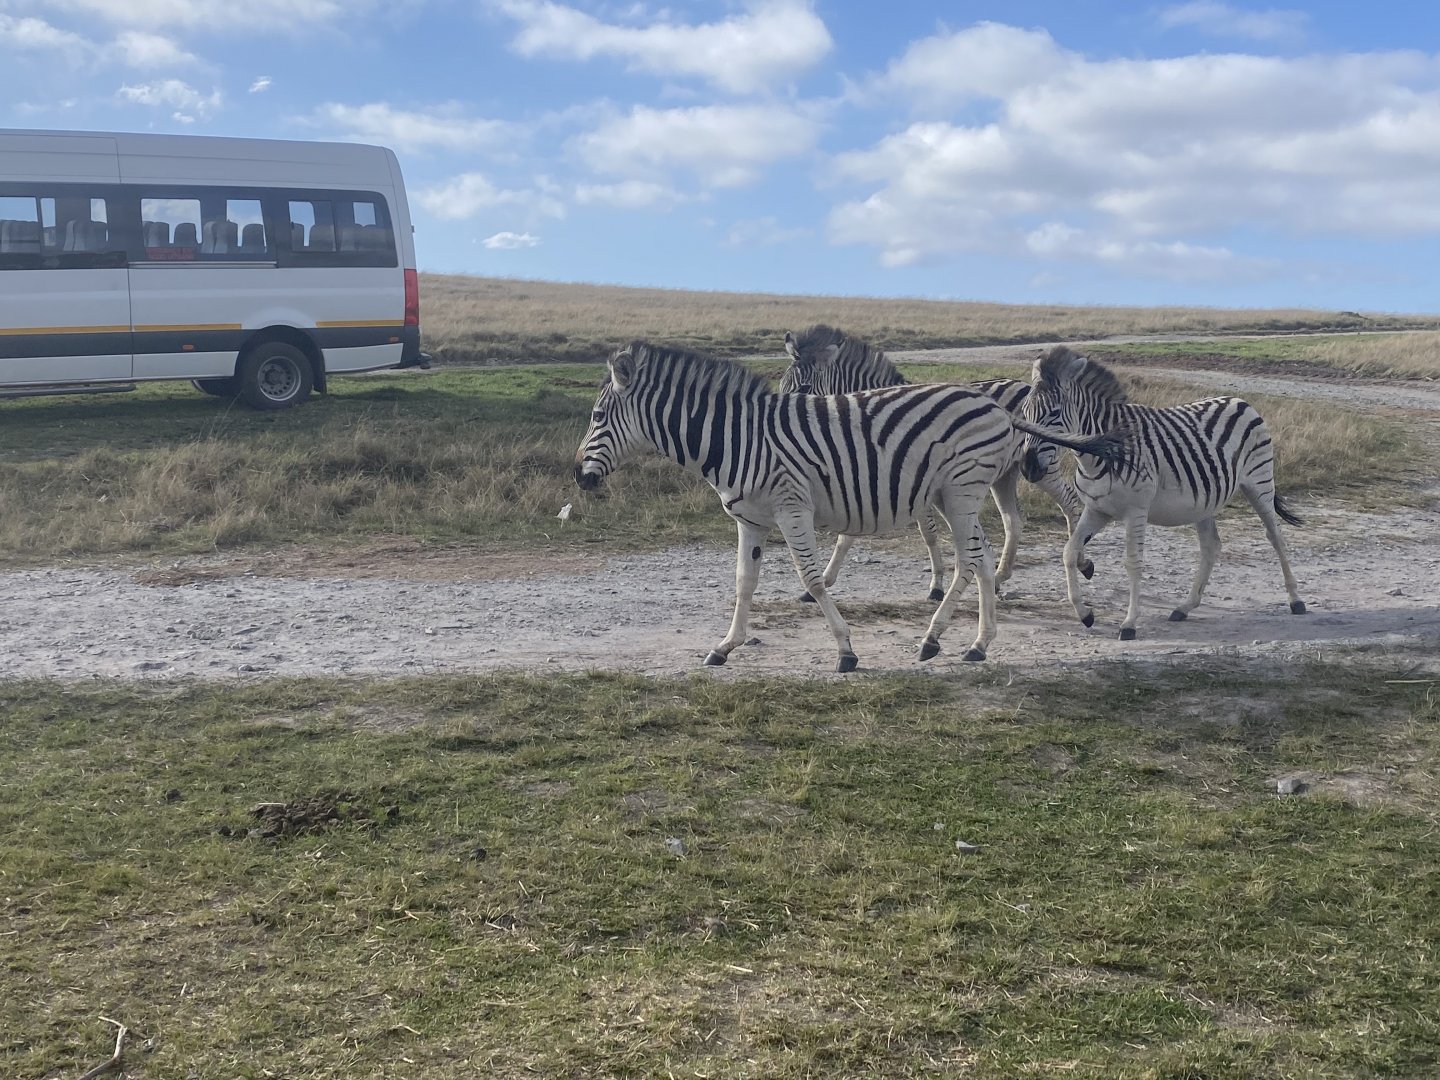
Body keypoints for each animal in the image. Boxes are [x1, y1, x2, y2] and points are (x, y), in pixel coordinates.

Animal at [779, 324, 1094, 603]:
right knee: (1013, 520)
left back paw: (1081, 561)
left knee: (1069, 501)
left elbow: (928, 534)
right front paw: (820, 584)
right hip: (1004, 474)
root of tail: (1024, 385)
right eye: (782, 384)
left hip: (1039, 464)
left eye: (804, 386)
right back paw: (1000, 577)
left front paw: (936, 586)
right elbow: (847, 535)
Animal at [1018, 345, 1306, 640]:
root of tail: (1239, 400)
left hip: (1260, 483)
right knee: (1211, 546)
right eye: (1025, 413)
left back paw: (1296, 601)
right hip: (1206, 500)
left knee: (1276, 536)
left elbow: (1133, 562)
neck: (1096, 454)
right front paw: (1084, 614)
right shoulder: (1097, 509)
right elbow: (1069, 551)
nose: (1028, 468)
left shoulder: (1135, 511)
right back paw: (1185, 607)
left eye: (1054, 413)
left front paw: (1129, 623)